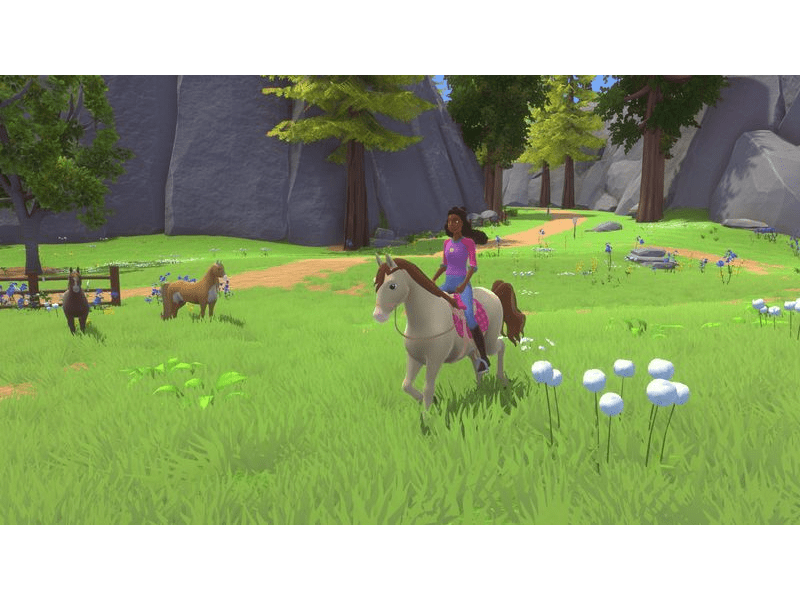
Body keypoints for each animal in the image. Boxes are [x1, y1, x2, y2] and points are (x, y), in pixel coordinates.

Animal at [373, 254, 526, 409]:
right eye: (375, 283)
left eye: (392, 286)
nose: (378, 316)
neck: (428, 319)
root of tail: (493, 293)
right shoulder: (414, 358)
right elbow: (406, 385)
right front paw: (433, 401)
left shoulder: (434, 360)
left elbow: (428, 388)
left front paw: (427, 414)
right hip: (472, 348)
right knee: (476, 361)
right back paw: (480, 389)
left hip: (489, 343)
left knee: (501, 346)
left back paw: (502, 381)